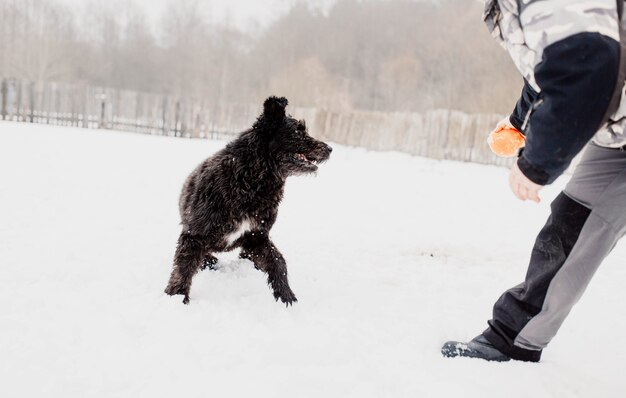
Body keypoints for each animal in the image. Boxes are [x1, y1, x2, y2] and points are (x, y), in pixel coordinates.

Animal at [165, 95, 332, 304]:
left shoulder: (256, 236)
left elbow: (278, 261)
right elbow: (183, 268)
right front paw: (176, 297)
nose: (330, 148)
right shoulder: (194, 235)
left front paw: (285, 295)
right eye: (298, 131)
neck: (250, 182)